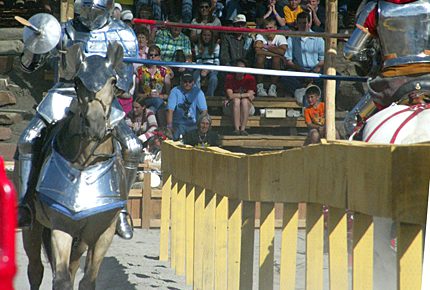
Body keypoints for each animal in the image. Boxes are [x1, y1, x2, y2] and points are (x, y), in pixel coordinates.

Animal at [21, 42, 127, 288]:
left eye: (113, 81)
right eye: (77, 82)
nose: (95, 124)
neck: (86, 161)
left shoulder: (103, 232)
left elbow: (87, 280)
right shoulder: (61, 227)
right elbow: (61, 279)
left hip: (83, 241)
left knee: (73, 265)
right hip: (33, 228)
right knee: (36, 269)